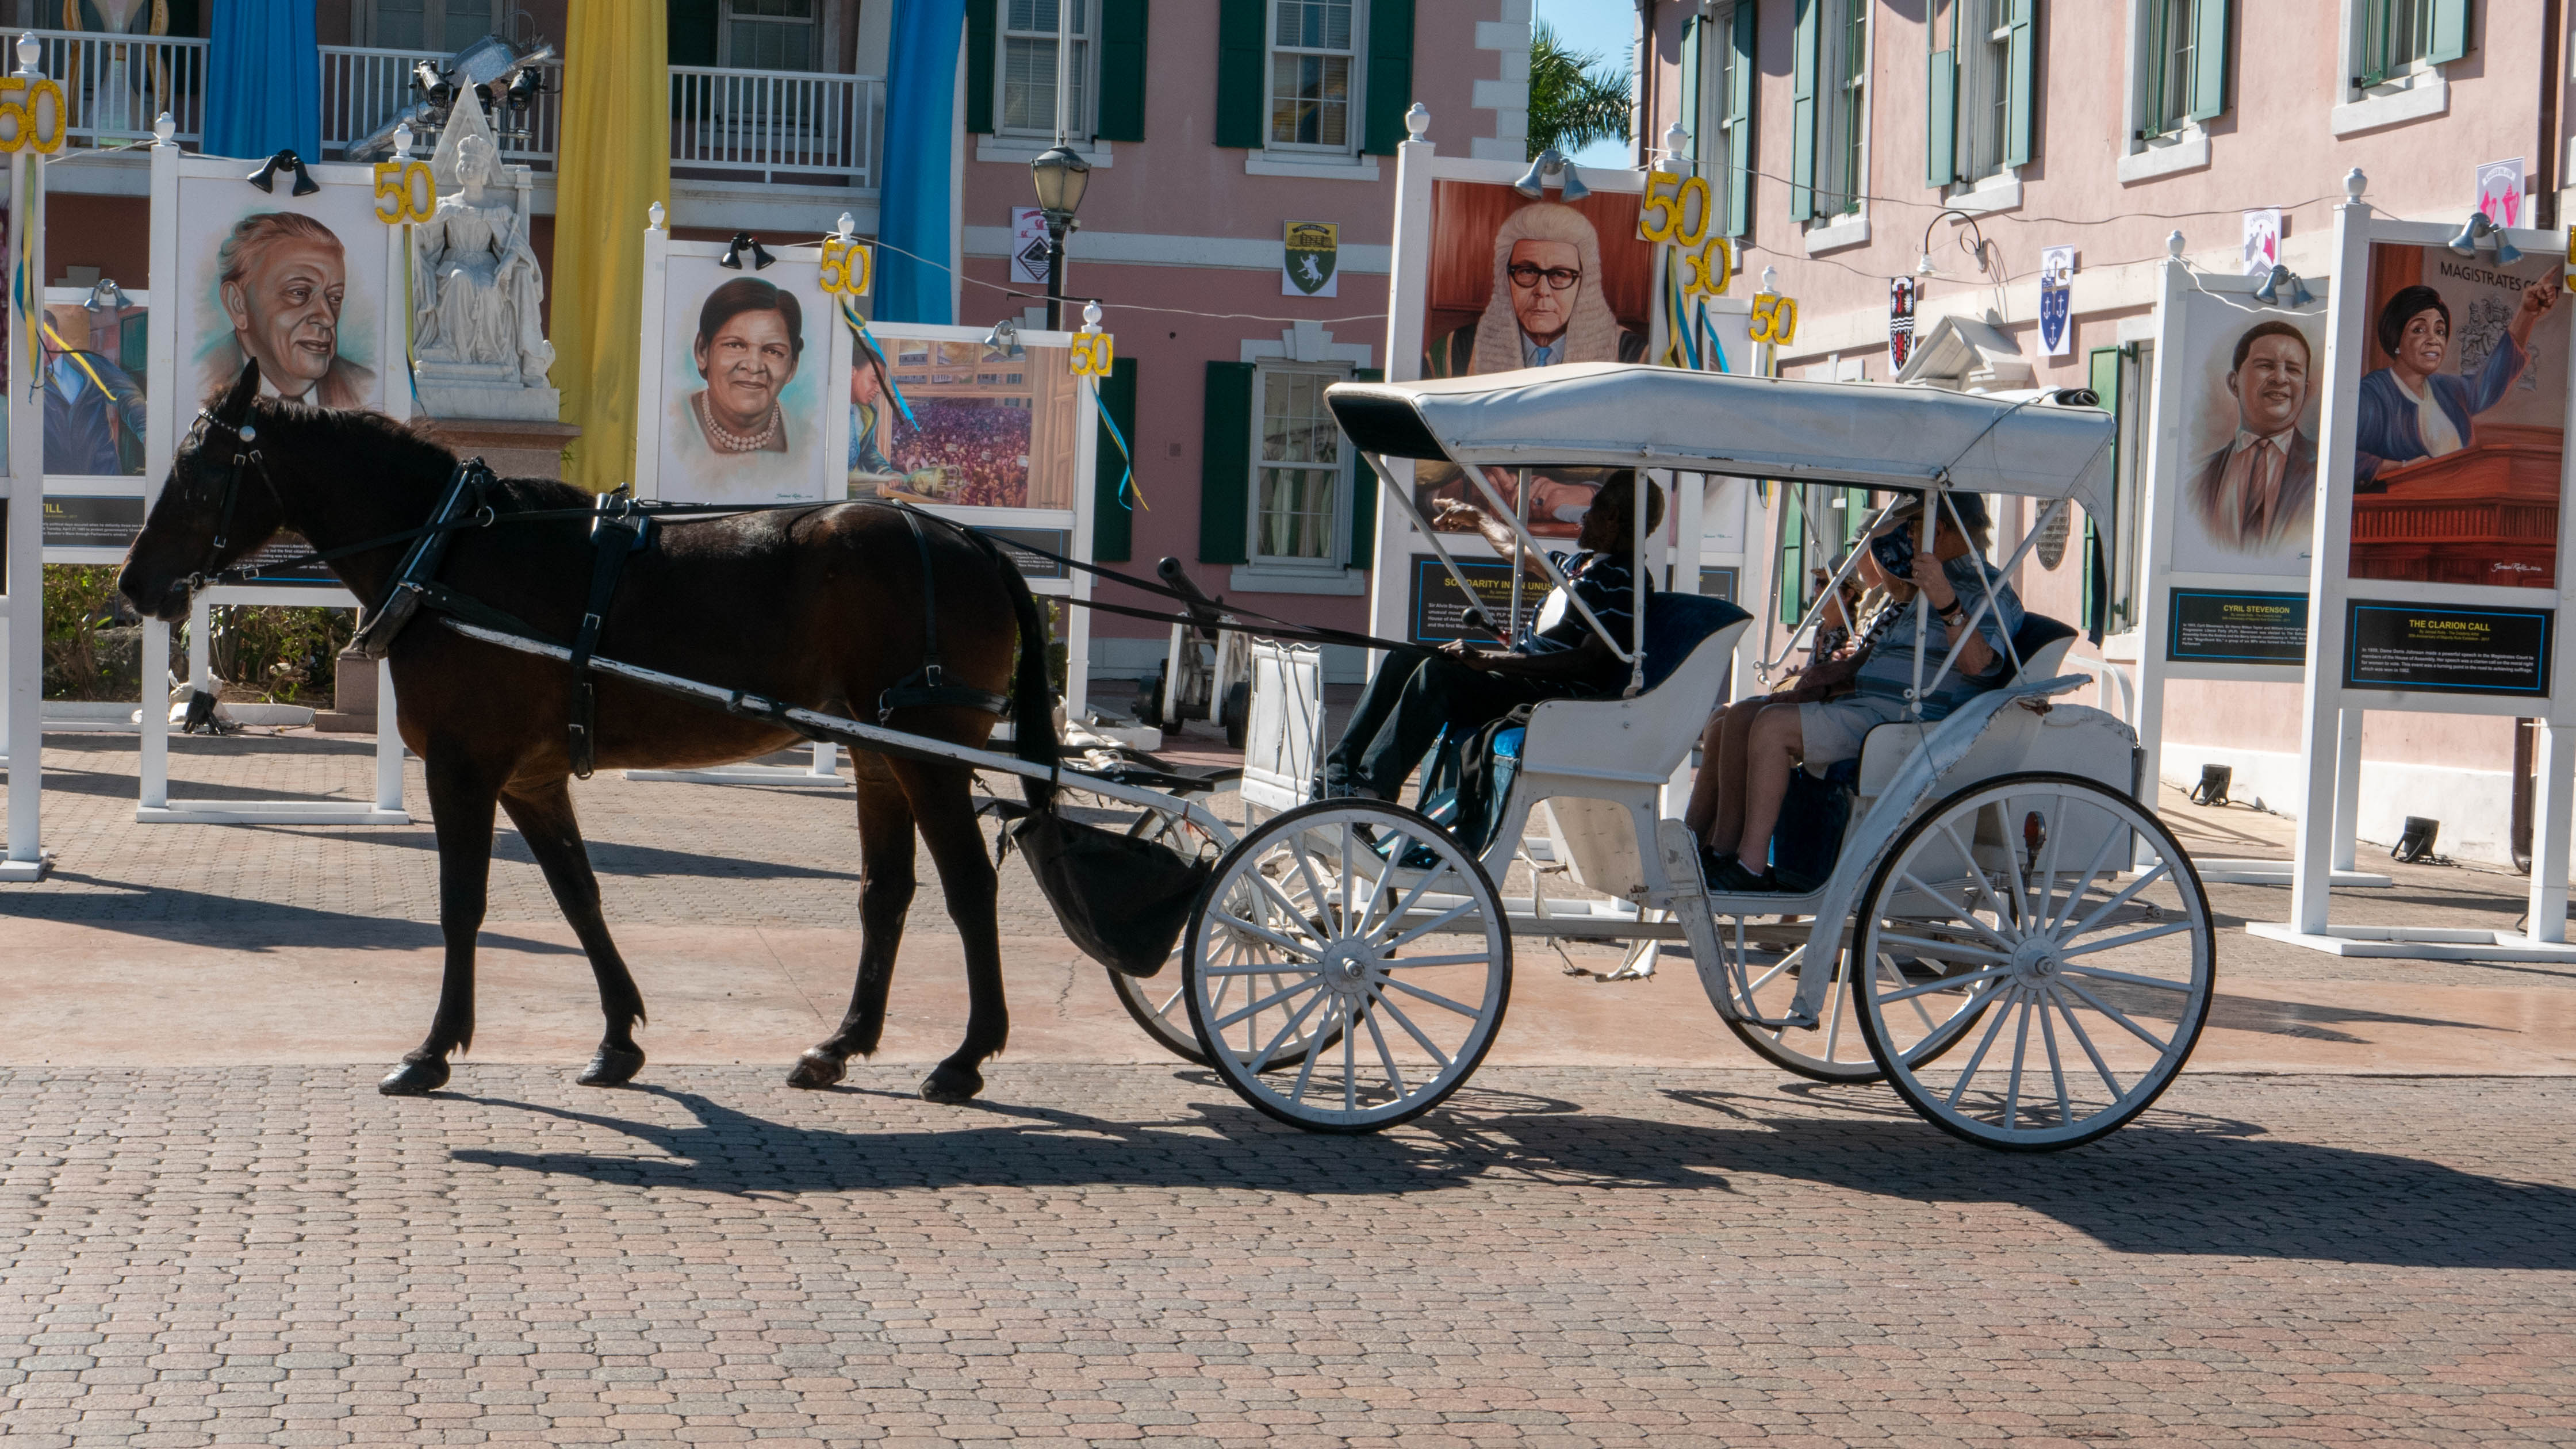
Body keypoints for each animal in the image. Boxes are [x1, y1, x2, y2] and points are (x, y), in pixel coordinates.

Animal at [117, 361, 1059, 1105]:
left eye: (198, 471)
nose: (132, 581)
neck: (448, 554)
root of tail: (969, 541)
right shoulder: (530, 778)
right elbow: (579, 896)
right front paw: (617, 1038)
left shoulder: (463, 769)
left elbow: (462, 904)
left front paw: (434, 1049)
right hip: (879, 754)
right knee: (886, 893)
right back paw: (842, 1043)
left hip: (928, 758)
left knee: (970, 888)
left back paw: (967, 1055)